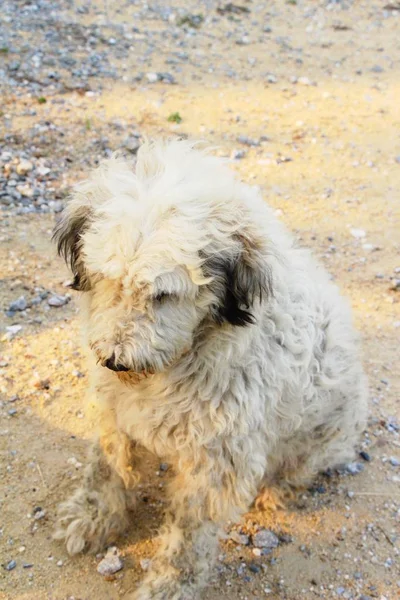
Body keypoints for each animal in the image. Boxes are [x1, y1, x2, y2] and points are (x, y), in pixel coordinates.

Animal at [53, 139, 368, 600]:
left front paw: (170, 585)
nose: (115, 360)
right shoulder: (115, 411)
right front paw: (92, 517)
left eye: (164, 294)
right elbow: (105, 469)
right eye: (107, 278)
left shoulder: (216, 462)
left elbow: (187, 536)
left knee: (301, 468)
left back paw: (276, 491)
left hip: (320, 436)